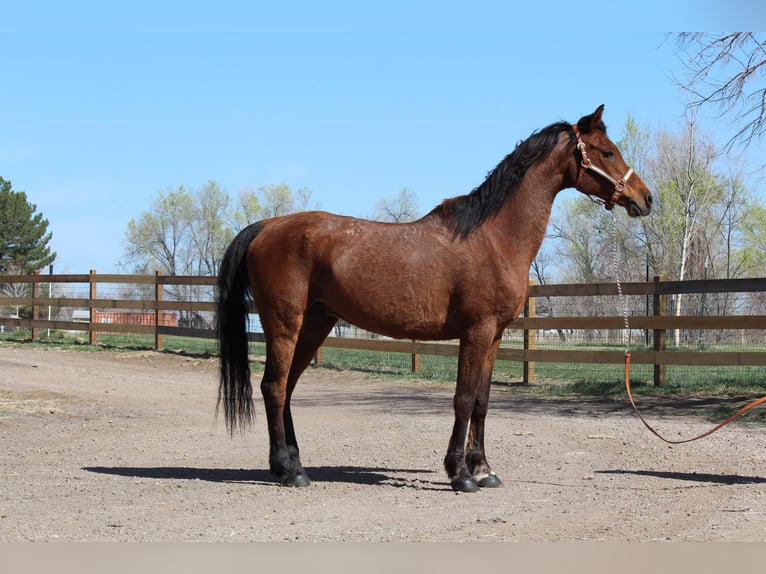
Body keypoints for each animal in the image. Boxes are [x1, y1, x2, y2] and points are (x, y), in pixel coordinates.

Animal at [216, 105, 652, 493]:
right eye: (607, 151)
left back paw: (291, 462)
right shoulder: (476, 332)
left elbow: (482, 401)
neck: (495, 236)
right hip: (284, 323)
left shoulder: (495, 336)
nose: (646, 199)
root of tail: (267, 226)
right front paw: (460, 474)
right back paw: (290, 472)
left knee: (287, 388)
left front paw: (484, 470)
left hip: (315, 323)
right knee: (274, 387)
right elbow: (463, 399)